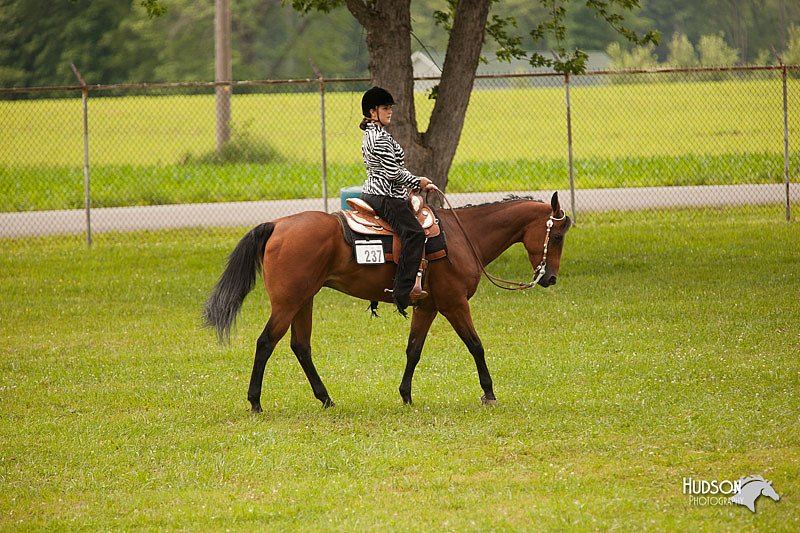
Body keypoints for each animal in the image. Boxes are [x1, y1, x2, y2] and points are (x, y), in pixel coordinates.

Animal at [203, 191, 572, 412]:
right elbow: (476, 345)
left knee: (300, 347)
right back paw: (255, 402)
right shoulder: (454, 304)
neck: (462, 236)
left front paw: (405, 395)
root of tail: (277, 224)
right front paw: (489, 392)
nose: (551, 278)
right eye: (557, 235)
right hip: (287, 303)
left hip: (303, 301)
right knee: (266, 343)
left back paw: (326, 398)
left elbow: (414, 350)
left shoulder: (428, 306)